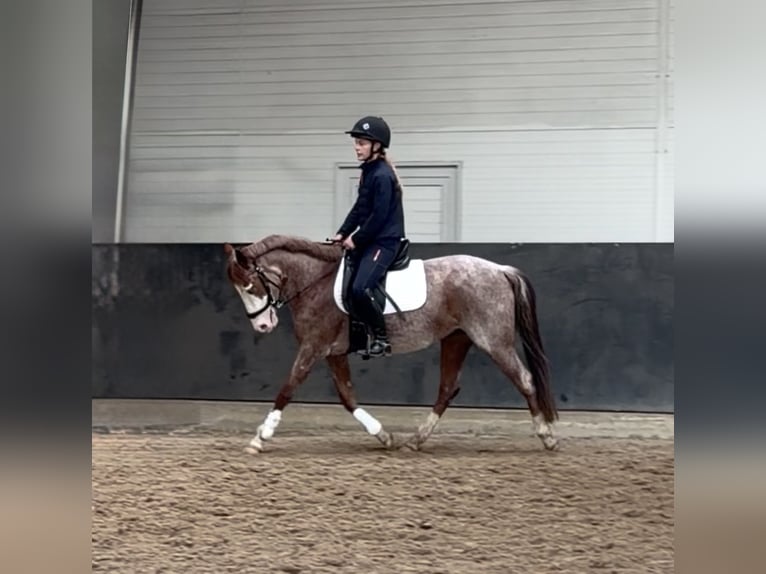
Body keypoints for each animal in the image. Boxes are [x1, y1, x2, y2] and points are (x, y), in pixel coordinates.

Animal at [223, 234, 558, 453]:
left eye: (249, 286)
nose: (262, 326)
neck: (315, 281)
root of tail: (500, 270)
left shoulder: (313, 347)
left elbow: (288, 388)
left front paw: (261, 437)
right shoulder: (332, 352)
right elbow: (347, 397)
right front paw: (383, 436)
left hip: (493, 340)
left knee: (524, 379)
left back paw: (547, 436)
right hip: (456, 339)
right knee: (447, 388)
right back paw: (416, 441)